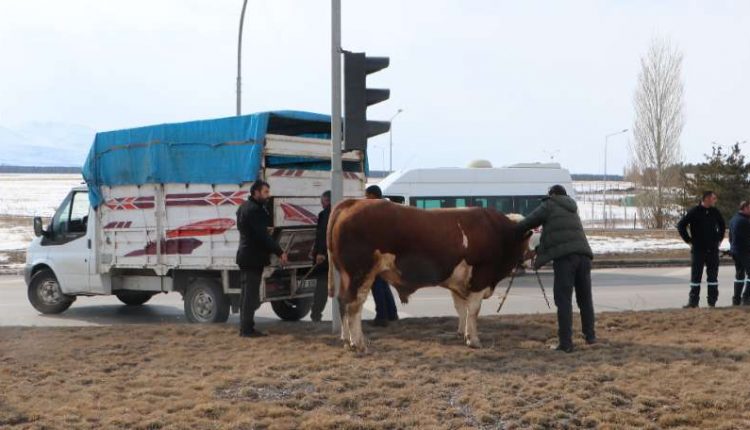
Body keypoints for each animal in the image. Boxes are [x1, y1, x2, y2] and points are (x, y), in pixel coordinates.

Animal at [326, 200, 532, 352]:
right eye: (527, 241)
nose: (532, 256)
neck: (500, 232)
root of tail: (353, 202)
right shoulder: (480, 278)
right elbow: (473, 310)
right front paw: (473, 340)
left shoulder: (459, 282)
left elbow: (462, 309)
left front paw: (462, 333)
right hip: (360, 274)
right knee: (354, 305)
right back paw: (359, 343)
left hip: (347, 276)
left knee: (342, 302)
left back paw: (347, 340)